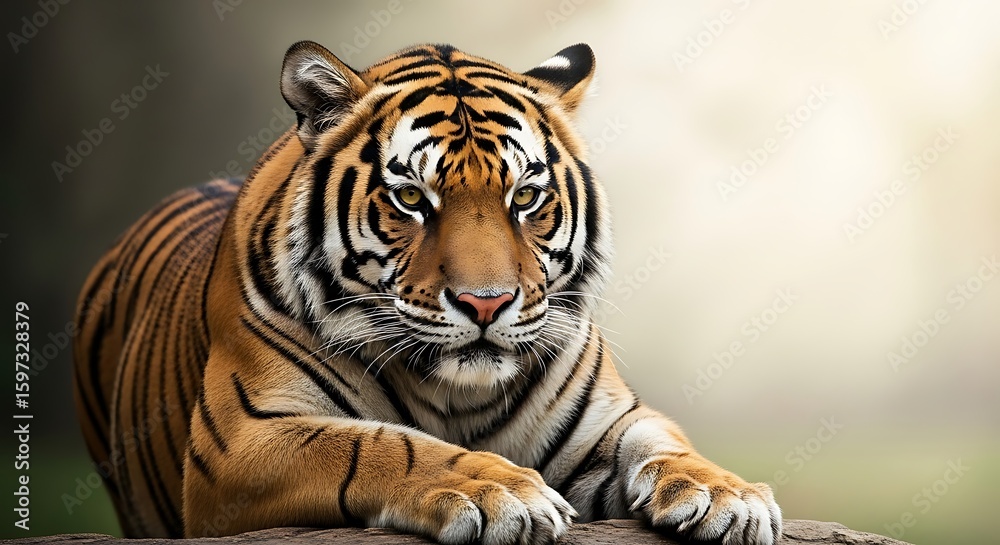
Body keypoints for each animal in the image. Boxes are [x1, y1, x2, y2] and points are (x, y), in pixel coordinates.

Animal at [72, 40, 782, 544]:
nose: (486, 303)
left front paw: (729, 495)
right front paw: (501, 491)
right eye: (412, 198)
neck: (458, 394)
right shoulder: (242, 440)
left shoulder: (609, 422)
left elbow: (667, 443)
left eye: (526, 197)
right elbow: (377, 443)